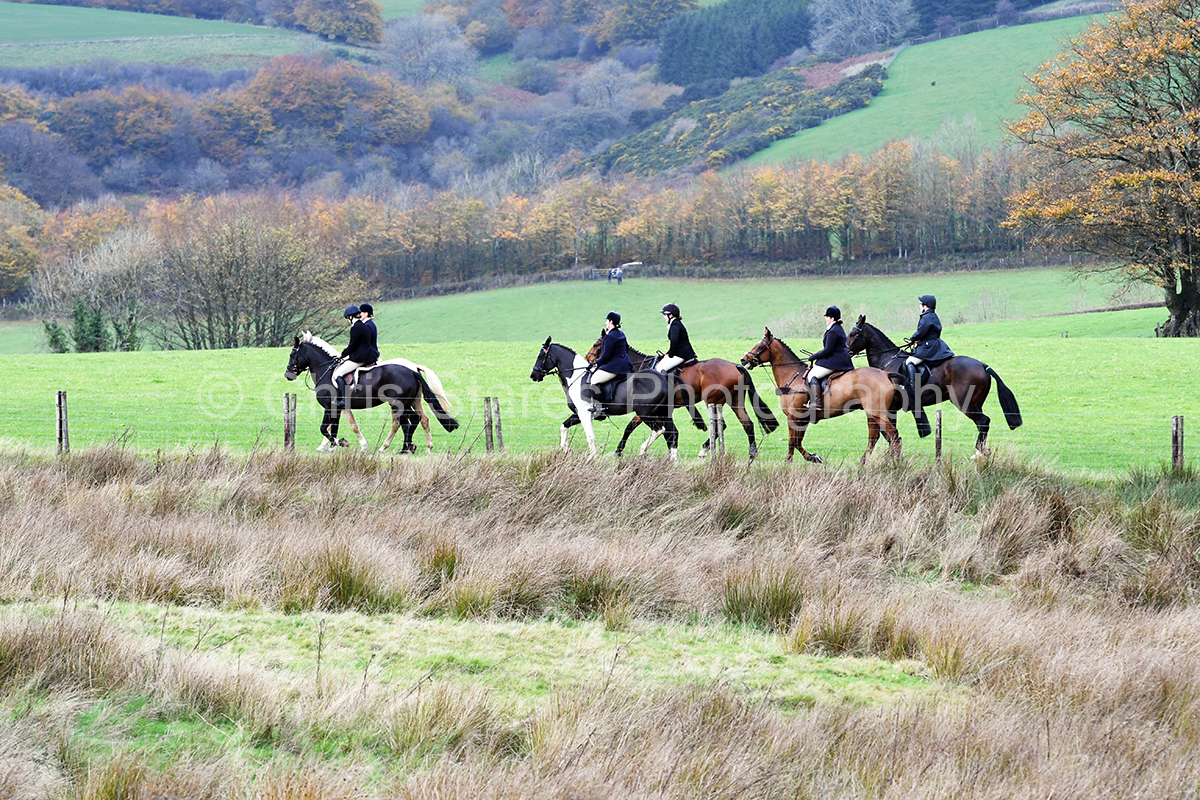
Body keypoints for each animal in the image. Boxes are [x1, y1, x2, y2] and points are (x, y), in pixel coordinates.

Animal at [284, 332, 458, 452]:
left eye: (292, 354)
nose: (288, 374)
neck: (326, 370)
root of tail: (412, 369)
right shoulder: (339, 408)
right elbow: (337, 427)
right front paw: (332, 446)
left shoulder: (330, 407)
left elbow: (326, 428)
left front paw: (341, 443)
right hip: (410, 402)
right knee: (418, 419)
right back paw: (414, 447)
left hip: (398, 404)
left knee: (404, 423)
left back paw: (401, 449)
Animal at [530, 337, 681, 459]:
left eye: (540, 356)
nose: (533, 375)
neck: (576, 376)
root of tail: (664, 376)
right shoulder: (578, 413)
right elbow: (563, 427)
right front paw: (568, 450)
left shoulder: (584, 413)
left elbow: (590, 436)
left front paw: (592, 458)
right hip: (663, 413)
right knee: (672, 433)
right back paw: (672, 462)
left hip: (646, 414)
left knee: (659, 430)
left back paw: (642, 451)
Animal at [583, 332, 779, 460]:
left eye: (597, 345)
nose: (587, 360)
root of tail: (734, 365)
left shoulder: (645, 409)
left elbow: (630, 427)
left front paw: (619, 451)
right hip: (733, 400)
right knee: (746, 423)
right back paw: (750, 452)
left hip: (714, 400)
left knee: (723, 425)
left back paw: (706, 450)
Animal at [740, 327, 902, 464]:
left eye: (760, 346)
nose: (743, 359)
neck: (793, 375)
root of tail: (886, 374)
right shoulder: (803, 419)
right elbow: (797, 442)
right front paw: (813, 457)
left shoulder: (793, 417)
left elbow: (792, 442)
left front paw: (787, 463)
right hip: (872, 414)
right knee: (875, 438)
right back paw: (864, 463)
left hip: (877, 413)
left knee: (893, 435)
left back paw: (896, 463)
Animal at [844, 315, 1022, 460]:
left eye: (853, 333)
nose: (846, 352)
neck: (887, 360)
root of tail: (983, 365)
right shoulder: (890, 408)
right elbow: (889, 434)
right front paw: (892, 455)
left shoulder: (888, 407)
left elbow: (888, 434)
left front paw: (892, 456)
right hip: (976, 403)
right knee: (982, 424)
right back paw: (980, 452)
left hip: (964, 403)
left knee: (984, 420)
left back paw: (980, 451)